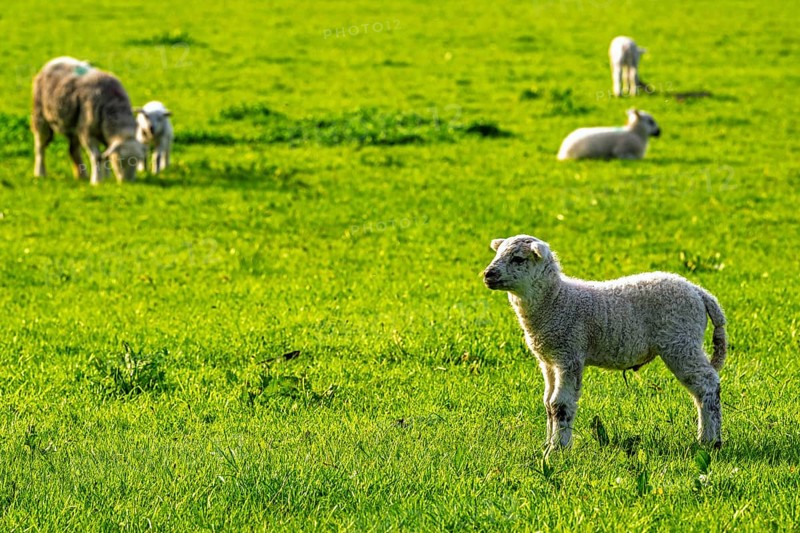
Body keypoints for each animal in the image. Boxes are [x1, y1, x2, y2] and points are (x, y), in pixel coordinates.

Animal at [32, 56, 145, 185]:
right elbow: (97, 157)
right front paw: (97, 181)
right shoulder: (87, 133)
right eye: (120, 160)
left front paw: (106, 178)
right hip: (40, 116)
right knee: (40, 147)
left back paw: (82, 175)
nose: (128, 182)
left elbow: (105, 156)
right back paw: (40, 173)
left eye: (138, 160)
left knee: (73, 150)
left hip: (74, 125)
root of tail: (54, 60)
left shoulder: (104, 136)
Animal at [483, 235, 727, 450]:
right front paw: (547, 444)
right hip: (685, 340)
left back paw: (710, 440)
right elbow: (548, 403)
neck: (556, 301)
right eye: (498, 253)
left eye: (518, 259)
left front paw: (558, 449)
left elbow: (560, 405)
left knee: (707, 384)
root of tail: (699, 292)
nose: (487, 274)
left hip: (681, 340)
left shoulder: (569, 354)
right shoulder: (548, 360)